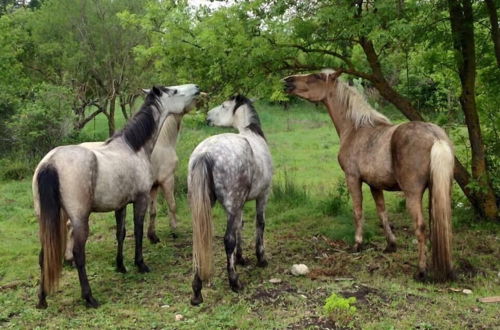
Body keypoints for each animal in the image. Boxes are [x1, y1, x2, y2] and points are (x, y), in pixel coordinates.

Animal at [32, 84, 200, 308]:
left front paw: (121, 266)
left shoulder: (120, 205)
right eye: (173, 91)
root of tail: (51, 163)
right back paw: (89, 297)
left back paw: (42, 299)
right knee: (78, 253)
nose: (197, 88)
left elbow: (120, 233)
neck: (134, 148)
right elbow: (138, 231)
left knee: (44, 255)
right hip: (79, 219)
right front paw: (140, 264)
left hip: (48, 218)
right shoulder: (141, 199)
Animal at [188, 94, 274, 306]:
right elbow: (259, 224)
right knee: (228, 240)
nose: (207, 117)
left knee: (199, 241)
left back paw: (196, 292)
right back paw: (235, 282)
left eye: (224, 106)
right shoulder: (263, 196)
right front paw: (261, 259)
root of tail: (205, 153)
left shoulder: (239, 206)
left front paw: (241, 258)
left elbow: (239, 227)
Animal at [284, 69, 456, 282]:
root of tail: (435, 136)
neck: (356, 129)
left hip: (413, 194)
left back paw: (421, 270)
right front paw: (391, 245)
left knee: (420, 228)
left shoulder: (353, 178)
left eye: (316, 76)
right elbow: (382, 212)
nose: (287, 81)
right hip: (439, 191)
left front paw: (357, 244)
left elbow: (358, 211)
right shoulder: (375, 184)